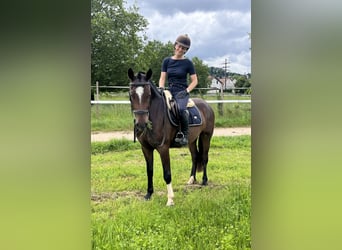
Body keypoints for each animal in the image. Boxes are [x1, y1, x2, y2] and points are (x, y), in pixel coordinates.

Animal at [127, 68, 214, 205]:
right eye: (131, 95)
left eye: (148, 95)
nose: (141, 124)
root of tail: (207, 105)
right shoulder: (146, 148)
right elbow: (149, 171)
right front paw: (148, 194)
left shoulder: (163, 148)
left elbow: (167, 173)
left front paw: (170, 199)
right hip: (191, 140)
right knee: (195, 157)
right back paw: (191, 179)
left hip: (206, 136)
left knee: (204, 157)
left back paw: (204, 181)